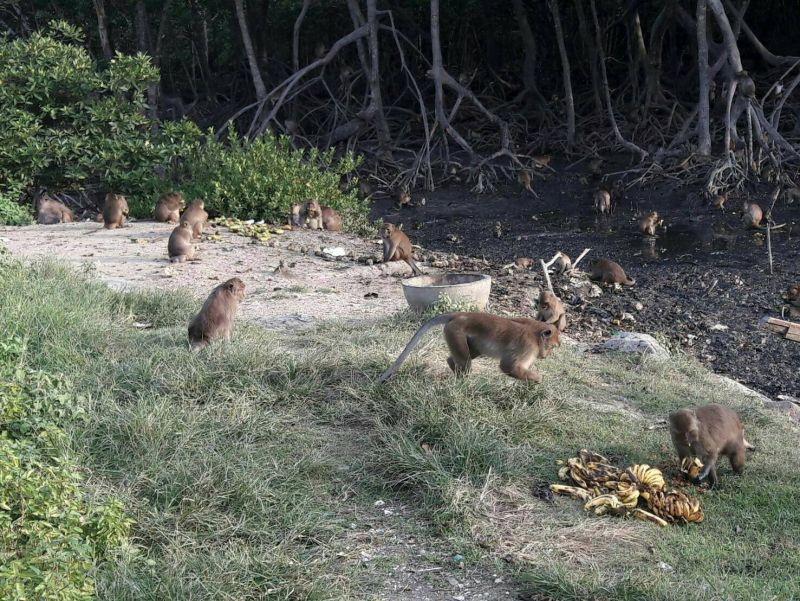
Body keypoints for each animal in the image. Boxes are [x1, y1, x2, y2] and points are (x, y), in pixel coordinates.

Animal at [378, 312, 560, 382]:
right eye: (551, 347)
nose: (547, 355)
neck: (535, 333)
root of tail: (459, 315)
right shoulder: (528, 347)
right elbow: (507, 366)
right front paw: (537, 379)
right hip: (455, 332)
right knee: (466, 362)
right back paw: (461, 379)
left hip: (461, 336)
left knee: (470, 353)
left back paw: (452, 365)